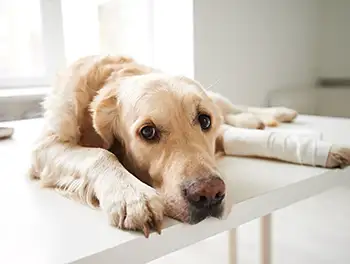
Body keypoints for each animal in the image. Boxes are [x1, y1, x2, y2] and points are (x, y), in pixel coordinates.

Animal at [30, 55, 350, 237]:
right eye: (147, 131)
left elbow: (249, 138)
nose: (210, 195)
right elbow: (99, 153)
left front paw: (325, 149)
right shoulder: (45, 147)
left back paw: (275, 114)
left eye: (204, 120)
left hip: (219, 100)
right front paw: (131, 195)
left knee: (234, 108)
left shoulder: (218, 129)